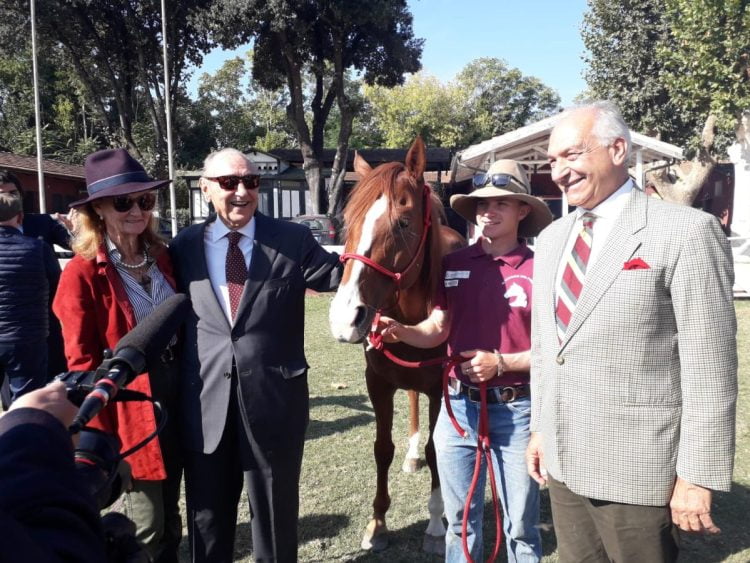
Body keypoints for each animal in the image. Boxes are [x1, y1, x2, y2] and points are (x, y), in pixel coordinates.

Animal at [329, 137, 465, 553]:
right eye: (348, 223)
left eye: (402, 223)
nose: (345, 318)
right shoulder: (378, 383)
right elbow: (382, 448)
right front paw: (377, 524)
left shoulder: (440, 388)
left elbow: (439, 450)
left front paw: (436, 526)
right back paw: (411, 454)